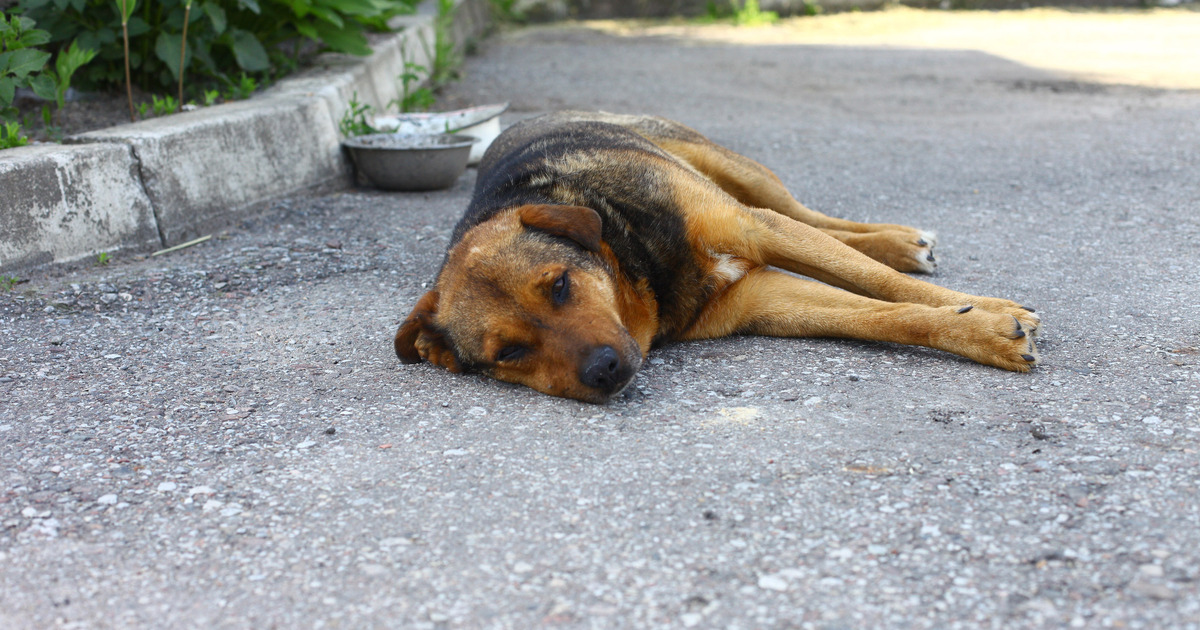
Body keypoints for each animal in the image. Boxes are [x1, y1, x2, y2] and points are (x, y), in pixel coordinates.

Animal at [396, 110, 1041, 400]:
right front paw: (980, 330)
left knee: (812, 217)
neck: (642, 265)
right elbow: (890, 314)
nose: (604, 371)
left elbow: (884, 284)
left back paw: (902, 242)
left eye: (559, 285)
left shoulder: (752, 230)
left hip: (737, 175)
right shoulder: (763, 298)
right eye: (509, 353)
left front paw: (988, 310)